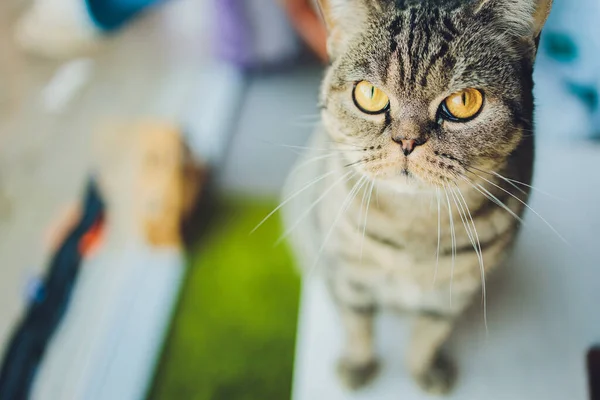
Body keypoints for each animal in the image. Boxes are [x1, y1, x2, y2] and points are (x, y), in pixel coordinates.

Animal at [282, 0, 552, 394]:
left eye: (464, 101)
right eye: (369, 94)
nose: (407, 141)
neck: (412, 227)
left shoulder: (451, 296)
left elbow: (429, 336)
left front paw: (425, 370)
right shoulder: (347, 276)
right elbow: (357, 325)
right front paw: (358, 365)